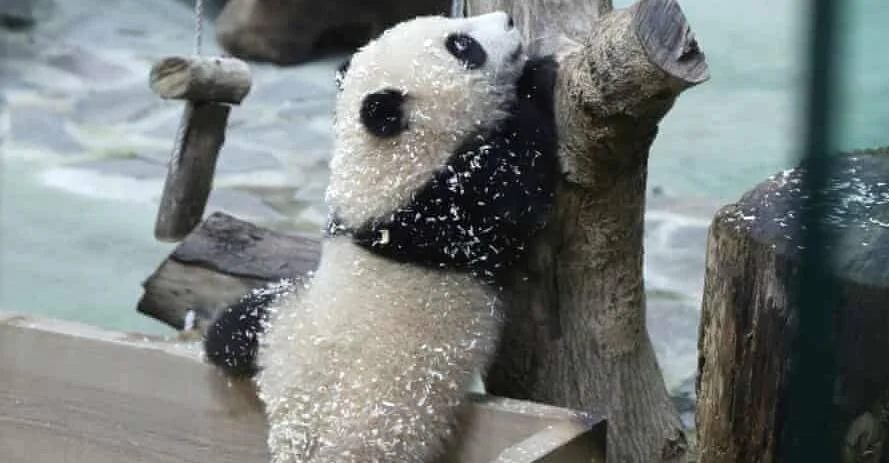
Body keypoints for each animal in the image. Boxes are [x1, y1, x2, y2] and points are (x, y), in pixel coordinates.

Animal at [203, 11, 559, 463]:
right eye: (462, 45)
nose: (508, 19)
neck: (376, 166)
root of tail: (294, 435)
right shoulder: (438, 211)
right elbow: (516, 186)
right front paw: (537, 78)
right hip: (381, 434)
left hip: (280, 321)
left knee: (228, 331)